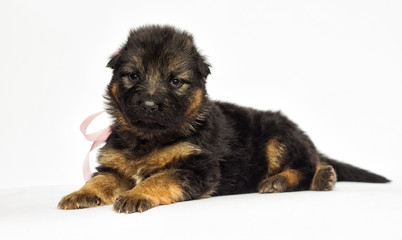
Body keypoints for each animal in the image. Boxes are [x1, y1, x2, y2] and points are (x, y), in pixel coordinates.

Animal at [57, 25, 390, 213]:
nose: (149, 105)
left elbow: (161, 177)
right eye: (133, 76)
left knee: (307, 164)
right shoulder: (114, 165)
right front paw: (79, 194)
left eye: (175, 81)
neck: (149, 138)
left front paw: (137, 195)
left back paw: (291, 180)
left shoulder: (198, 168)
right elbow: (100, 180)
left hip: (277, 138)